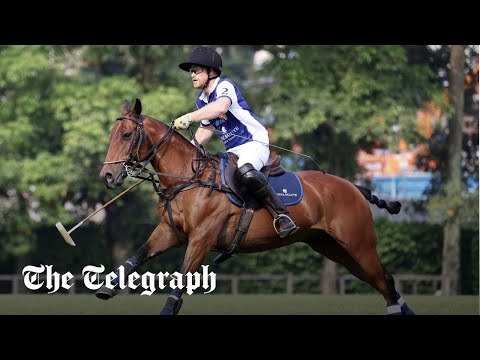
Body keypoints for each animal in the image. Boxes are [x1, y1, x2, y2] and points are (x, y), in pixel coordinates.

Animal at [96, 99, 412, 316]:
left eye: (127, 135)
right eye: (111, 135)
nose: (107, 176)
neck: (187, 179)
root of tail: (353, 187)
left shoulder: (201, 239)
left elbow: (181, 280)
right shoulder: (169, 233)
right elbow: (137, 256)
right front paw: (106, 287)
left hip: (359, 244)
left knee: (384, 280)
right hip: (333, 248)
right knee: (383, 281)